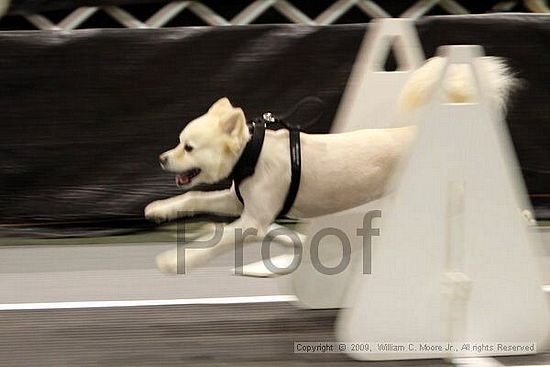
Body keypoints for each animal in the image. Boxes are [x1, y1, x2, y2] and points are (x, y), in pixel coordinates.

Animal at [144, 56, 516, 276]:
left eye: (189, 147)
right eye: (178, 141)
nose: (161, 158)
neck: (253, 153)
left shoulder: (252, 220)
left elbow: (218, 239)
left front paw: (173, 261)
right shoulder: (237, 201)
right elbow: (193, 199)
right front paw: (158, 209)